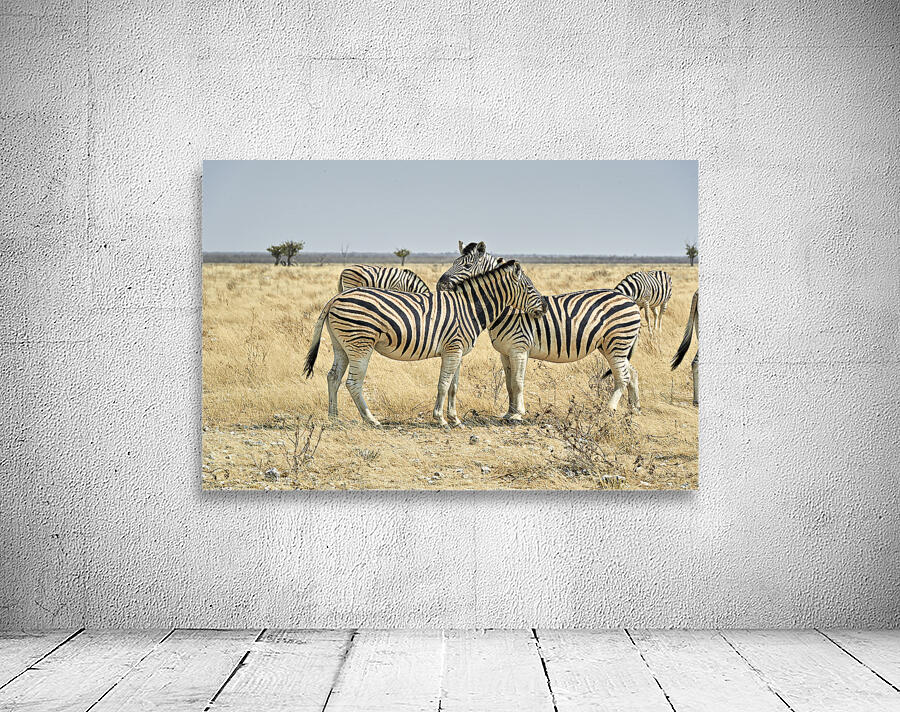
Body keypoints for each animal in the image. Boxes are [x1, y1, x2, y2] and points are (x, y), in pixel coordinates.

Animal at [304, 261, 548, 427]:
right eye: (529, 288)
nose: (544, 308)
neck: (469, 308)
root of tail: (336, 298)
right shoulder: (453, 348)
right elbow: (443, 384)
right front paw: (440, 419)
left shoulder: (457, 351)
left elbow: (453, 386)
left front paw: (455, 419)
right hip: (360, 344)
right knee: (353, 383)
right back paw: (371, 420)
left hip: (341, 344)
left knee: (333, 377)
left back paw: (334, 417)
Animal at [489, 289, 643, 419]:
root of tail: (629, 299)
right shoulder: (505, 353)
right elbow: (509, 384)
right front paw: (509, 412)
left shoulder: (519, 348)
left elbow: (517, 382)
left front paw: (517, 414)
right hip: (610, 346)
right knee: (632, 372)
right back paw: (634, 408)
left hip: (618, 341)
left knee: (623, 377)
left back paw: (608, 410)